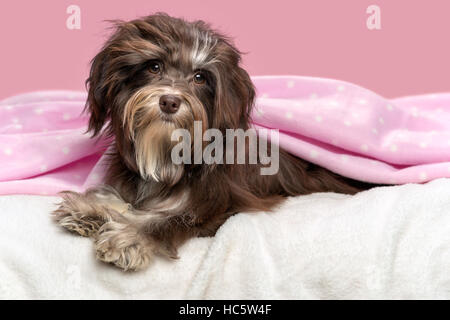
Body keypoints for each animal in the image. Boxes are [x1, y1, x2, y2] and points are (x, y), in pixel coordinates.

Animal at [52, 13, 376, 272]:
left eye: (199, 77)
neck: (168, 151)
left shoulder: (219, 204)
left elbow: (167, 220)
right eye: (154, 67)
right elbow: (121, 198)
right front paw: (90, 209)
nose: (170, 101)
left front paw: (130, 238)